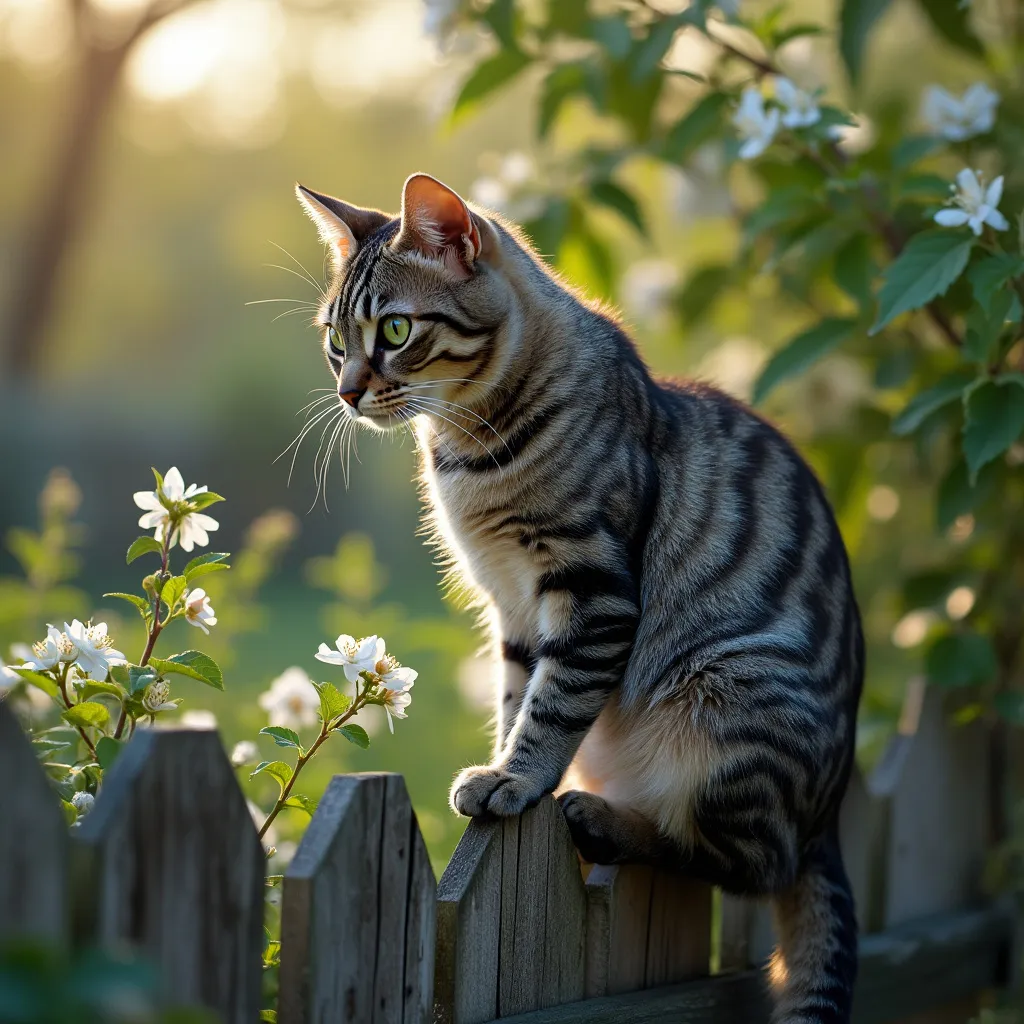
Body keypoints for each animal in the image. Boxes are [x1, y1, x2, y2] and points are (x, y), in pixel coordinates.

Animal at [296, 172, 864, 1019]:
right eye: (335, 339)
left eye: (394, 330)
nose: (348, 392)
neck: (468, 452)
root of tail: (829, 822)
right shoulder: (512, 607)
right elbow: (516, 697)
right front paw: (504, 764)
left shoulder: (592, 587)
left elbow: (554, 705)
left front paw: (514, 779)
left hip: (730, 700)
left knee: (747, 862)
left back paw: (602, 818)